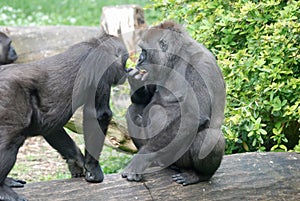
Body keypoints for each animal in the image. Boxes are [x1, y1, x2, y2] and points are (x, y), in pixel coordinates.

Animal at [0, 32, 127, 200]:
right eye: (125, 61)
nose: (127, 71)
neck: (97, 45)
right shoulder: (103, 67)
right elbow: (99, 116)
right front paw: (93, 168)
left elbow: (50, 127)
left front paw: (77, 161)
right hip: (10, 94)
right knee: (11, 141)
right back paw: (2, 189)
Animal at [123, 21, 226, 186]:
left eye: (144, 50)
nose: (139, 59)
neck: (177, 57)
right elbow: (143, 100)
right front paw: (136, 82)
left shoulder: (200, 64)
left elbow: (193, 116)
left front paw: (142, 158)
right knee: (133, 110)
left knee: (209, 136)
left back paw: (199, 175)